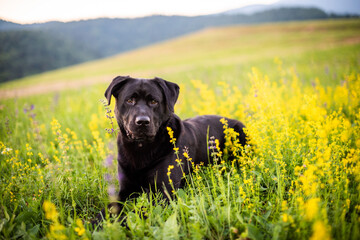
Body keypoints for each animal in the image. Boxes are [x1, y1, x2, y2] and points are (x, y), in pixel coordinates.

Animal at [96, 76, 248, 223]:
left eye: (154, 101)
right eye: (129, 100)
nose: (142, 121)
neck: (142, 148)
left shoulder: (164, 193)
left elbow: (135, 213)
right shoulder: (126, 190)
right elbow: (108, 209)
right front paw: (98, 222)